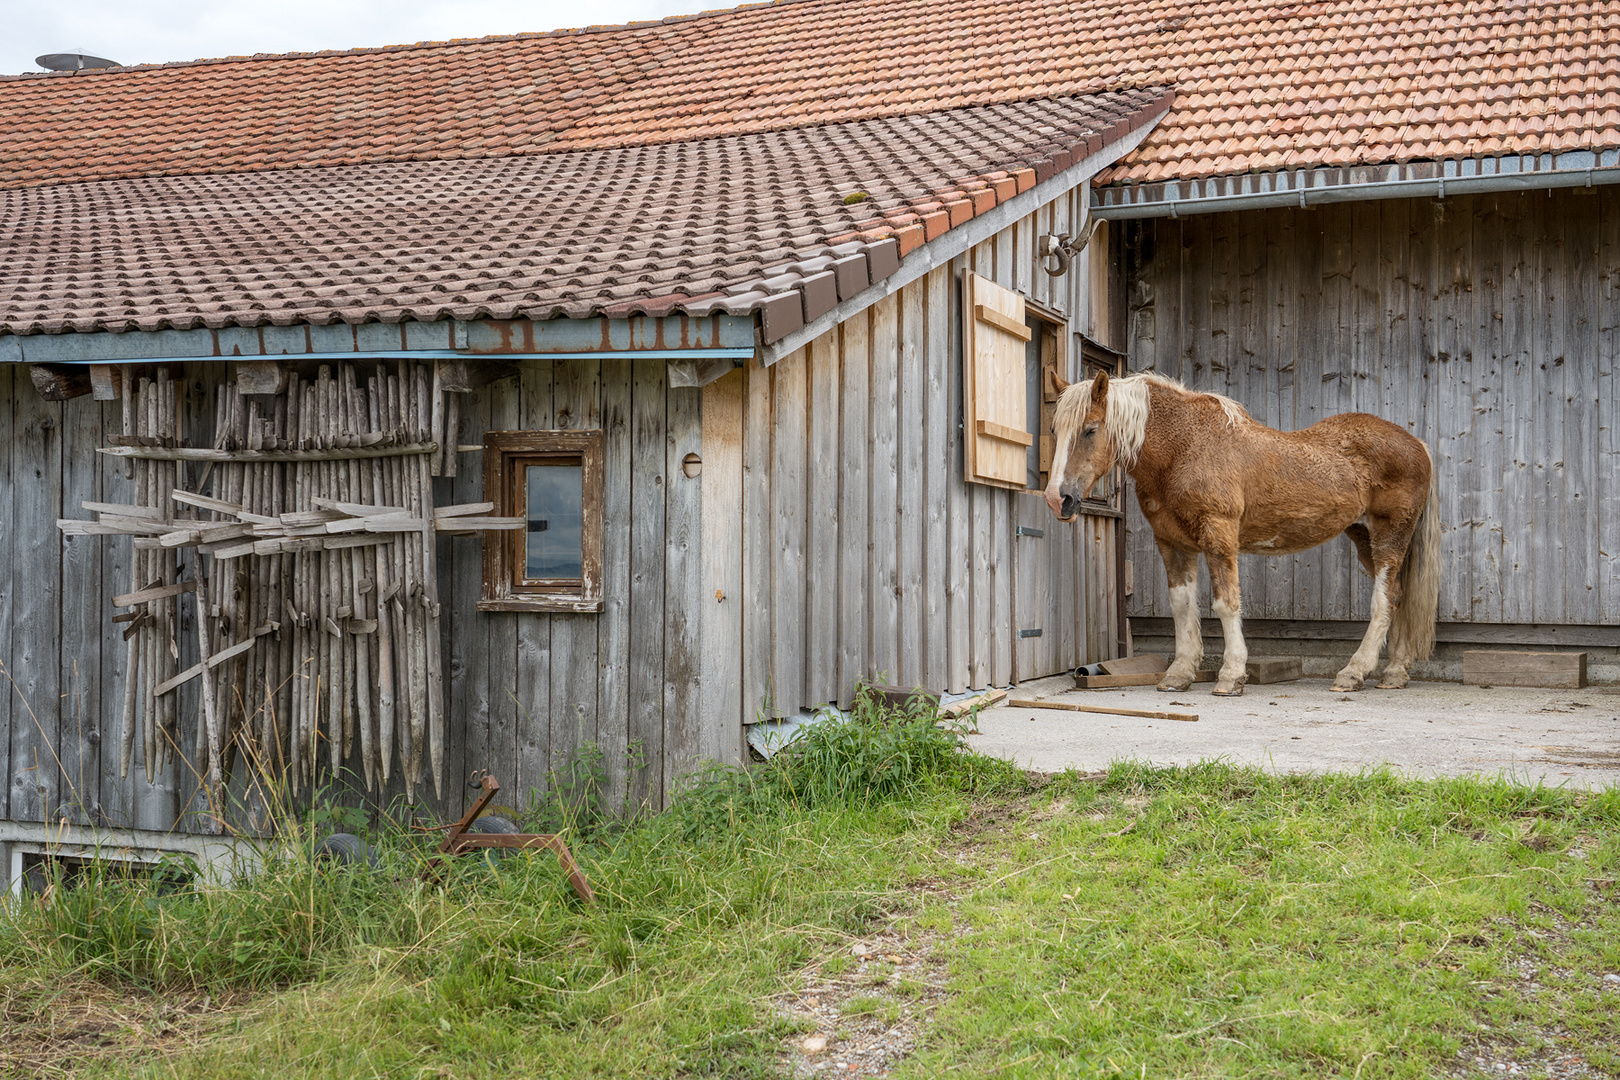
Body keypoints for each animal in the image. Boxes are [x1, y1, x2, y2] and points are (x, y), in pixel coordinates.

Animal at [1043, 367, 1438, 696]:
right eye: (1055, 431)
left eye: (1090, 430)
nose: (1057, 499)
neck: (1184, 448)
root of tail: (1418, 445)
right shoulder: (1172, 542)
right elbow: (1181, 605)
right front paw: (1180, 673)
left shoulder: (1219, 535)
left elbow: (1226, 603)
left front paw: (1232, 675)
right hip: (1363, 537)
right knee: (1398, 596)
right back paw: (1395, 673)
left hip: (1390, 536)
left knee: (1382, 601)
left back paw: (1354, 673)